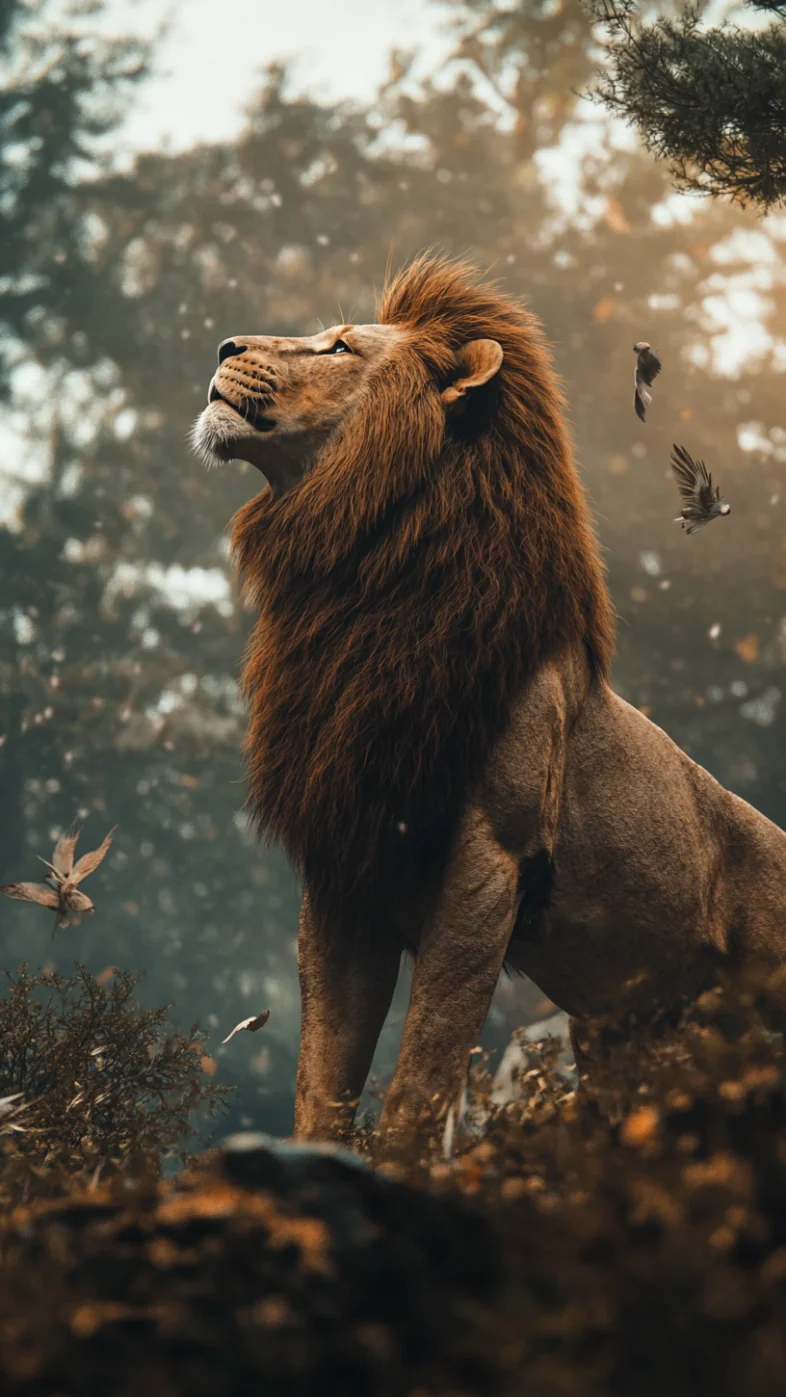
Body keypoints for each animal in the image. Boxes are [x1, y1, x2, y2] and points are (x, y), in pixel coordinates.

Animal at [192, 255, 786, 1145]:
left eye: (339, 346)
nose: (225, 343)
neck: (355, 579)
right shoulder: (344, 860)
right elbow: (322, 1076)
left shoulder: (491, 857)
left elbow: (423, 1073)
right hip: (628, 1036)